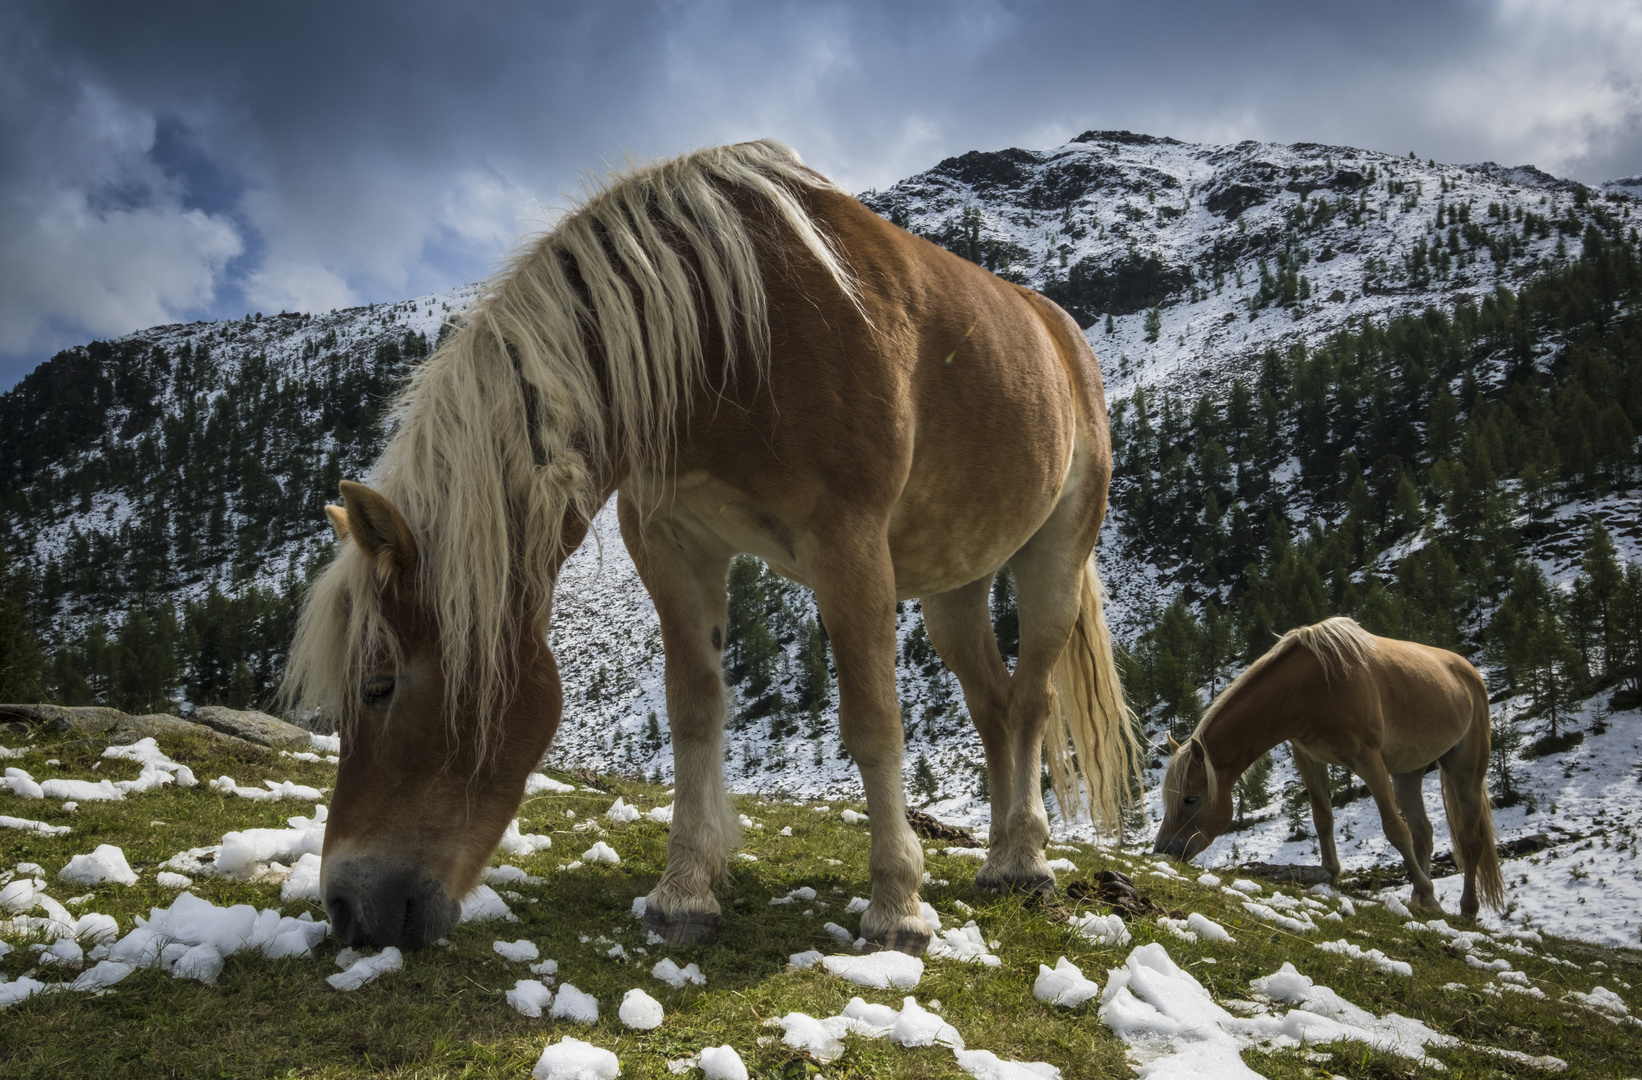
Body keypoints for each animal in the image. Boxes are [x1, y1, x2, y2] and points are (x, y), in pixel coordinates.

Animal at [282, 141, 1142, 951]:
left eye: (379, 686)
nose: (348, 909)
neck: (729, 337)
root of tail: (1061, 334)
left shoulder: (850, 548)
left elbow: (873, 723)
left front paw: (897, 907)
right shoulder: (672, 545)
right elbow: (694, 711)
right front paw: (685, 894)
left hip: (1054, 559)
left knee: (1031, 700)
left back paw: (1025, 863)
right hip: (954, 586)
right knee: (993, 704)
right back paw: (998, 855)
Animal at [1149, 617, 1504, 912]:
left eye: (1190, 798)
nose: (1165, 851)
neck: (1315, 687)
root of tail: (1469, 672)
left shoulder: (1368, 760)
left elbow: (1394, 829)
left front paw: (1430, 893)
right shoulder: (1308, 758)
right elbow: (1323, 819)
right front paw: (1330, 872)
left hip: (1466, 772)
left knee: (1470, 840)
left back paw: (1465, 907)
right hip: (1407, 773)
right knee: (1423, 832)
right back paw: (1419, 897)